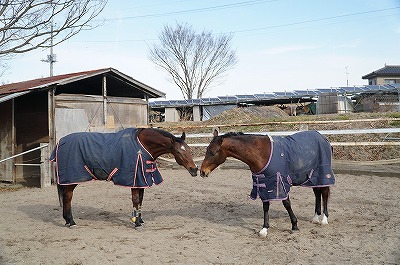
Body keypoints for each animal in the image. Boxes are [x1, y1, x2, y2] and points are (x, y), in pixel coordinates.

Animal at [51, 127, 198, 227]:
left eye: (189, 150)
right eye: (178, 151)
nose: (194, 169)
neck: (142, 145)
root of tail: (60, 142)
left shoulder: (141, 180)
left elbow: (140, 200)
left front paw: (140, 219)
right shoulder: (135, 179)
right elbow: (136, 200)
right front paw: (137, 223)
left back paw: (67, 220)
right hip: (72, 179)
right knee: (68, 197)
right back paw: (71, 221)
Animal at [200, 129, 334, 236]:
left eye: (212, 152)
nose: (202, 172)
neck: (261, 153)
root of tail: (323, 137)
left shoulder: (280, 181)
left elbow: (286, 203)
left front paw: (294, 225)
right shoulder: (264, 183)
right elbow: (265, 206)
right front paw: (264, 229)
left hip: (323, 173)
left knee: (324, 193)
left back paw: (324, 219)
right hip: (312, 177)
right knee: (317, 193)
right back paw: (316, 217)